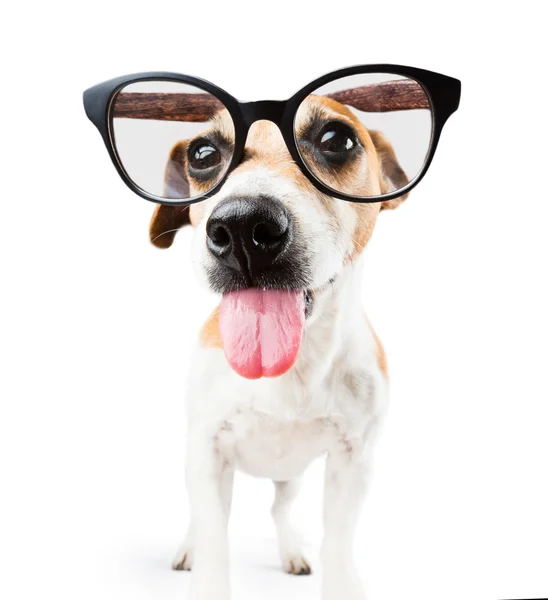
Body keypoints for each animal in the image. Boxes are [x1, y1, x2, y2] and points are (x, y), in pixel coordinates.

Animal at [148, 94, 408, 600]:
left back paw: (291, 552)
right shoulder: (207, 452)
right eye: (203, 154)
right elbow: (213, 542)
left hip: (291, 477)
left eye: (337, 139)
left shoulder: (353, 461)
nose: (242, 224)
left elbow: (338, 544)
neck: (292, 369)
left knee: (279, 509)